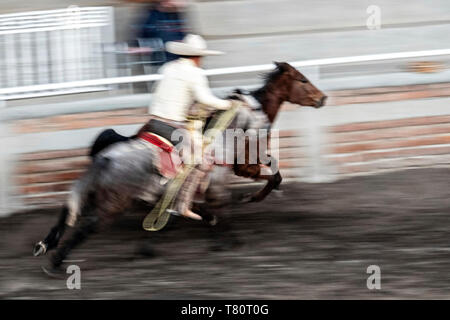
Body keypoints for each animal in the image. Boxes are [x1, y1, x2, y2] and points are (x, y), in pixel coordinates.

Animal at [32, 61, 326, 268]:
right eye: (302, 79)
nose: (322, 98)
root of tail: (107, 156)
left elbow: (272, 174)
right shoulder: (241, 168)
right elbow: (271, 177)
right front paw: (244, 206)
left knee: (69, 211)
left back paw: (46, 246)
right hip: (114, 201)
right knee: (87, 223)